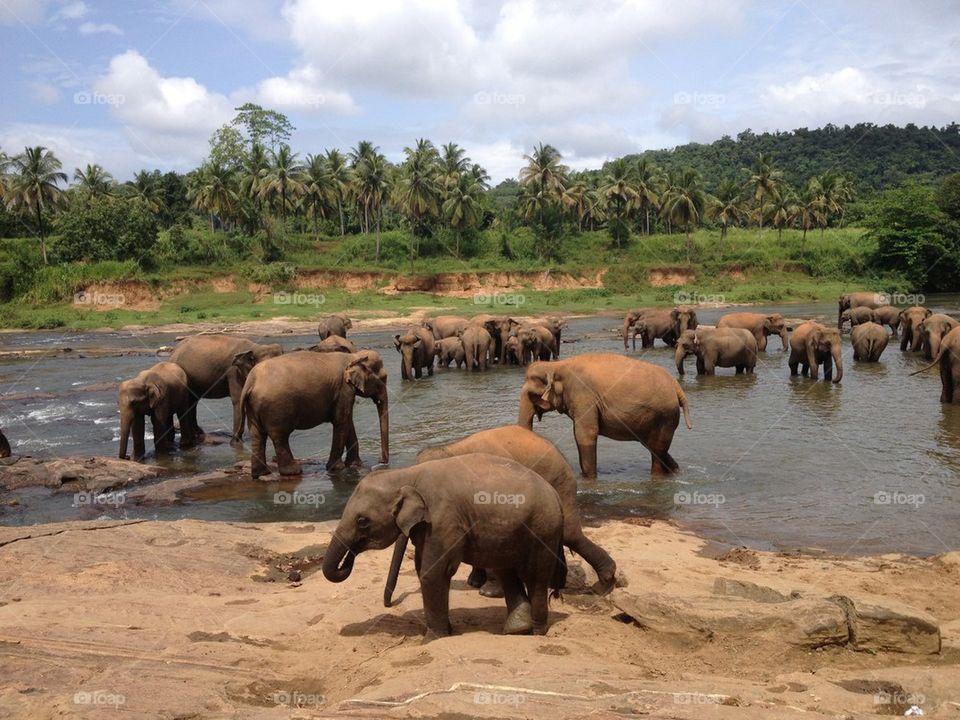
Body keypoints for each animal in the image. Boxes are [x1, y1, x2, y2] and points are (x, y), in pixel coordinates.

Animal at [241, 350, 389, 479]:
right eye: (383, 378)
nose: (381, 461)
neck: (353, 356)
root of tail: (251, 382)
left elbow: (347, 420)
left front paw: (354, 465)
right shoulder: (344, 389)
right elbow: (341, 420)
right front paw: (336, 468)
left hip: (253, 407)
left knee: (257, 435)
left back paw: (261, 473)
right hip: (276, 408)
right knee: (280, 436)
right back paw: (293, 471)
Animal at [322, 453, 567, 639]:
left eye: (362, 521)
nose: (349, 558)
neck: (407, 474)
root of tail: (556, 495)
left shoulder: (442, 520)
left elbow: (432, 572)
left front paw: (433, 638)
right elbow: (423, 568)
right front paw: (446, 631)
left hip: (543, 530)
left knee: (535, 578)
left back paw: (536, 632)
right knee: (507, 573)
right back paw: (516, 630)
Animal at [381, 425, 617, 608]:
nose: (390, 603)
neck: (452, 449)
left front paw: (488, 592)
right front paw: (475, 583)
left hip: (560, 482)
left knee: (568, 533)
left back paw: (604, 582)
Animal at [519, 353, 693, 477]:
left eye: (532, 394)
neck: (557, 365)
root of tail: (677, 387)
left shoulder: (583, 395)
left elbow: (585, 434)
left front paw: (589, 479)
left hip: (665, 416)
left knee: (657, 452)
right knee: (655, 448)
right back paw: (676, 472)